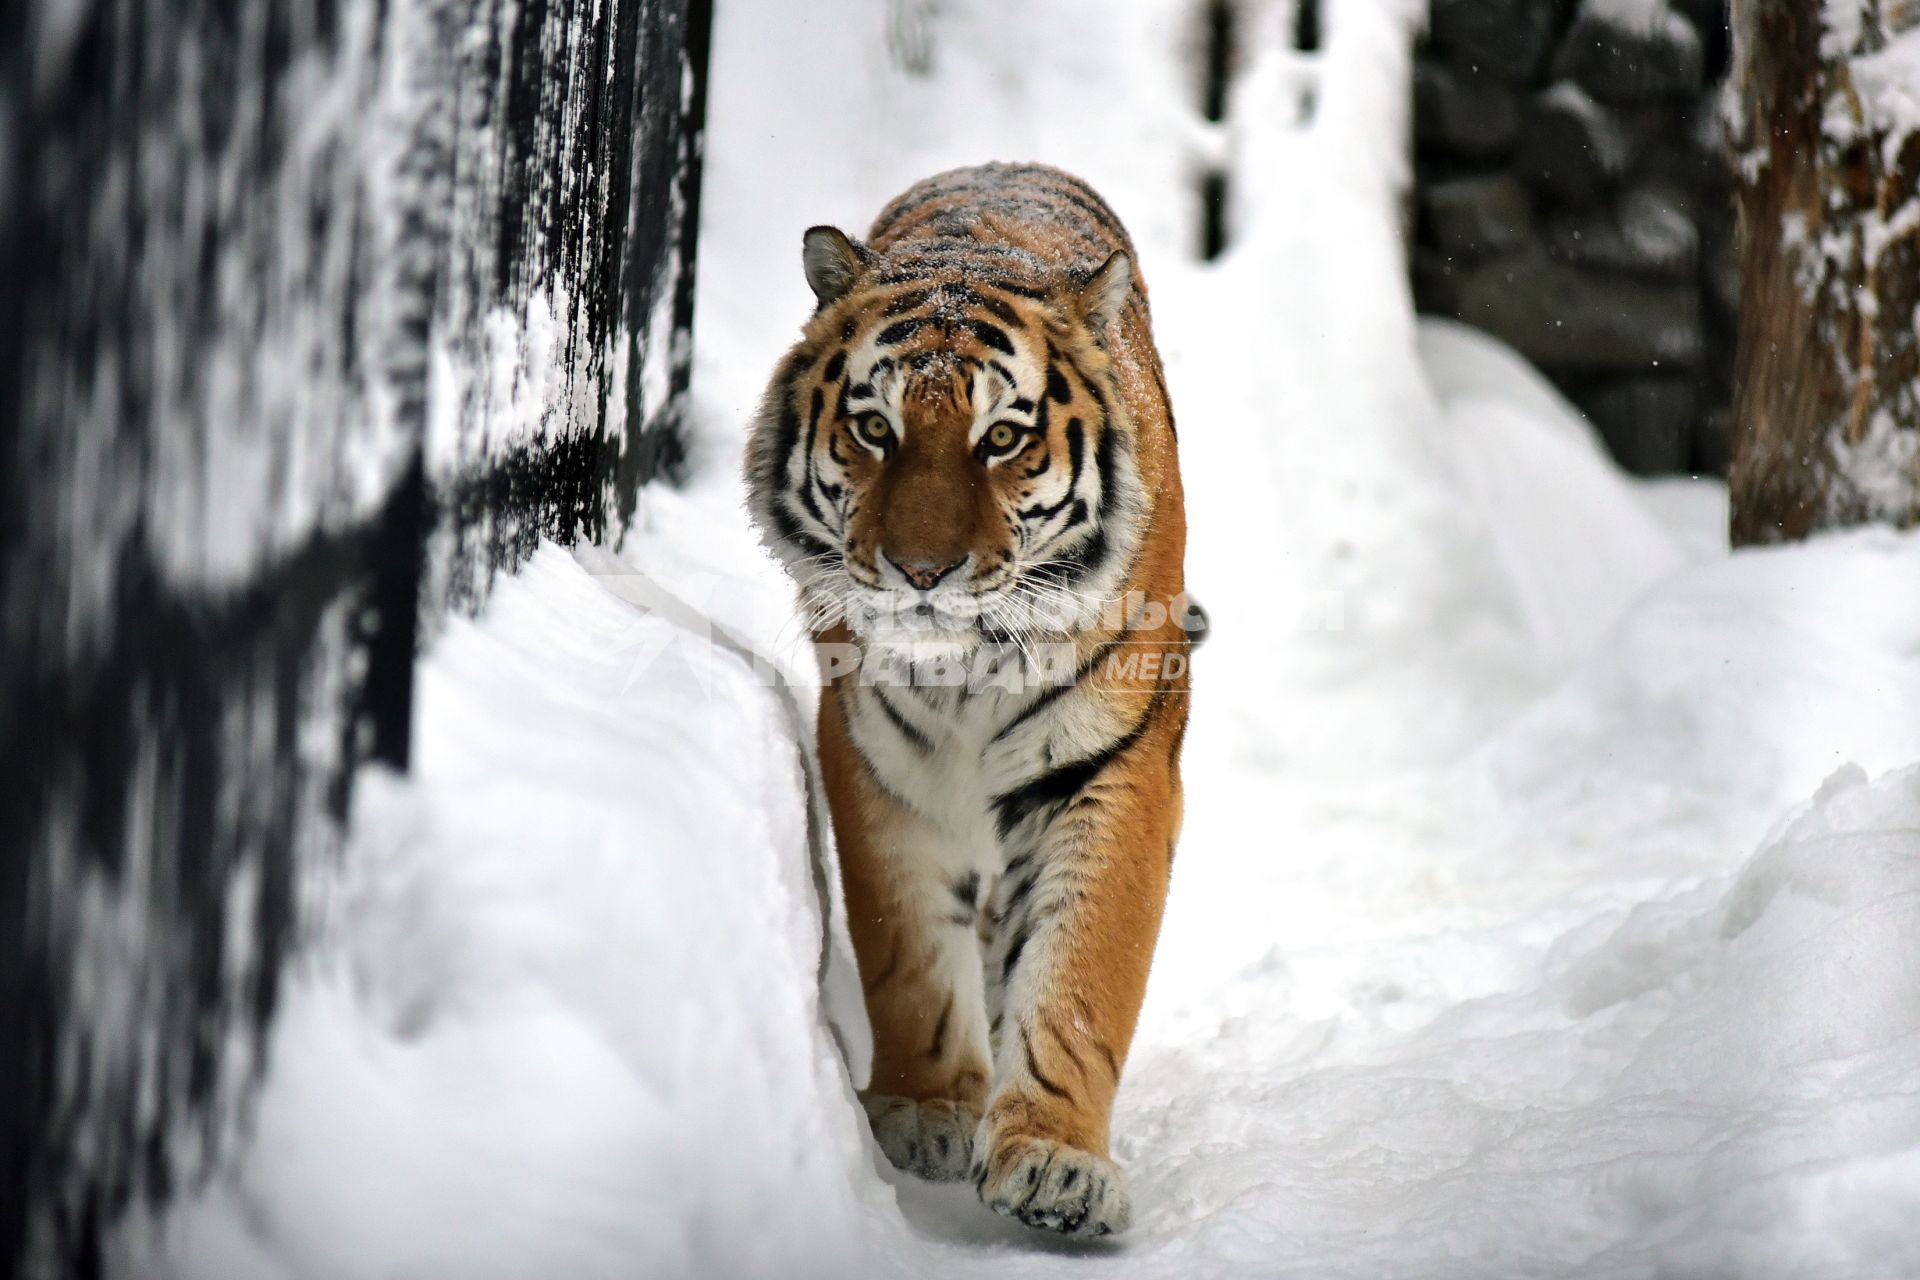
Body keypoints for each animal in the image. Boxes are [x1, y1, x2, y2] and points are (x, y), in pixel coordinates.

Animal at [744, 157, 1182, 1228]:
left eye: (1002, 439)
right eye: (874, 429)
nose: (921, 571)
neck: (970, 666)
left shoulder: (1113, 763)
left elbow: (1080, 970)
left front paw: (1057, 1161)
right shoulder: (880, 762)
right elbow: (908, 953)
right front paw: (926, 1111)